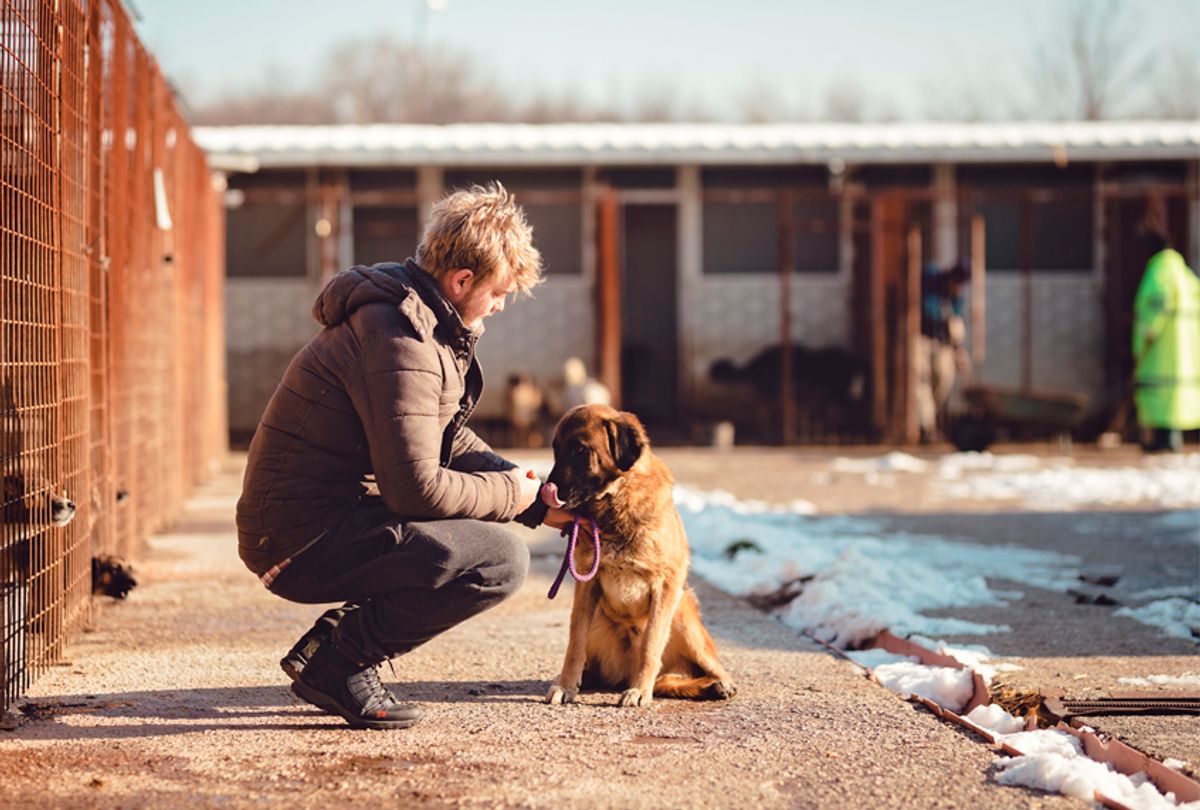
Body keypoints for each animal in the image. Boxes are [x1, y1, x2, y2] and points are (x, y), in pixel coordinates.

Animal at [540, 403, 734, 705]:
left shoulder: (665, 587)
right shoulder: (586, 587)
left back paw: (719, 685)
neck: (617, 501)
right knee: (667, 680)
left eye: (580, 450)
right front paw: (565, 686)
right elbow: (575, 643)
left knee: (708, 669)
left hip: (682, 615)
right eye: (556, 450)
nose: (545, 491)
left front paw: (640, 690)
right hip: (599, 619)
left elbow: (650, 646)